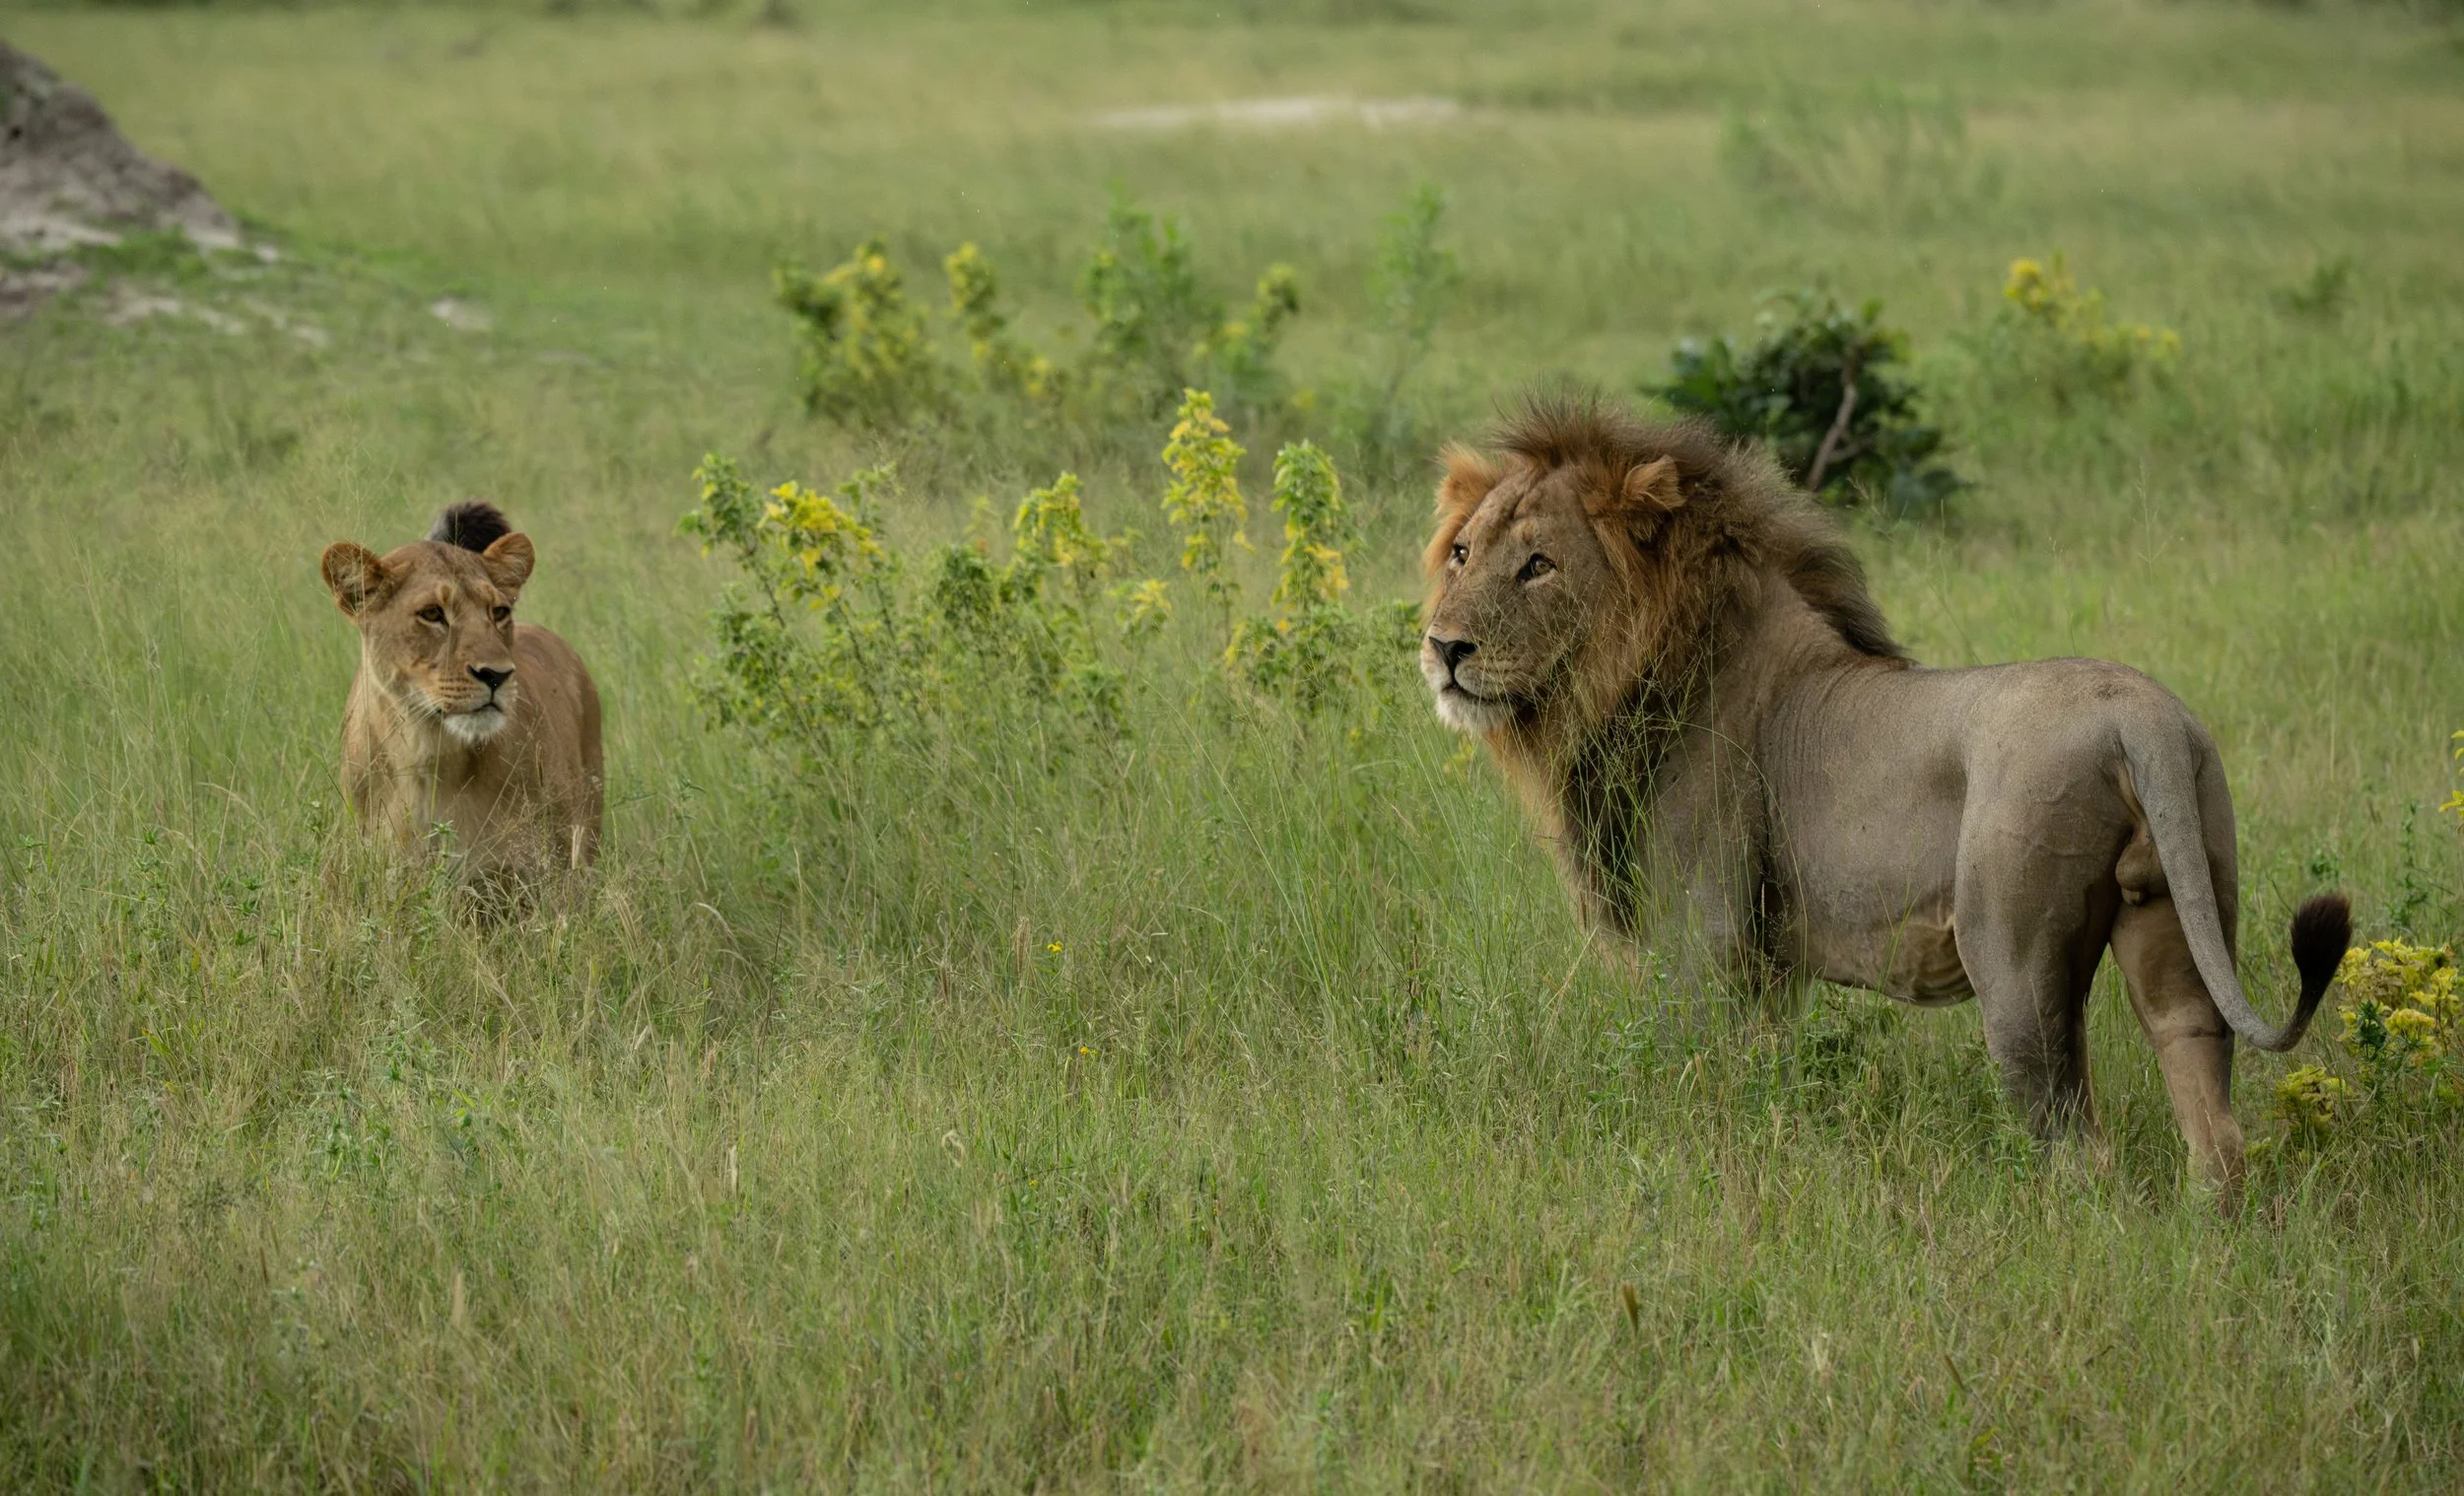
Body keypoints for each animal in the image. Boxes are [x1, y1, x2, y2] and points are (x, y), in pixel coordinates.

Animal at [1421, 394, 2349, 1195]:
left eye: (1538, 566)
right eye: (1462, 554)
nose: (1443, 647)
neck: (1638, 675)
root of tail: (2142, 717)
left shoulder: (1703, 940)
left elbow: (1696, 1076)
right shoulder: (1767, 966)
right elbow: (1764, 1073)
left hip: (2015, 959)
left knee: (2076, 1143)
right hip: (2181, 904)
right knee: (2204, 1089)